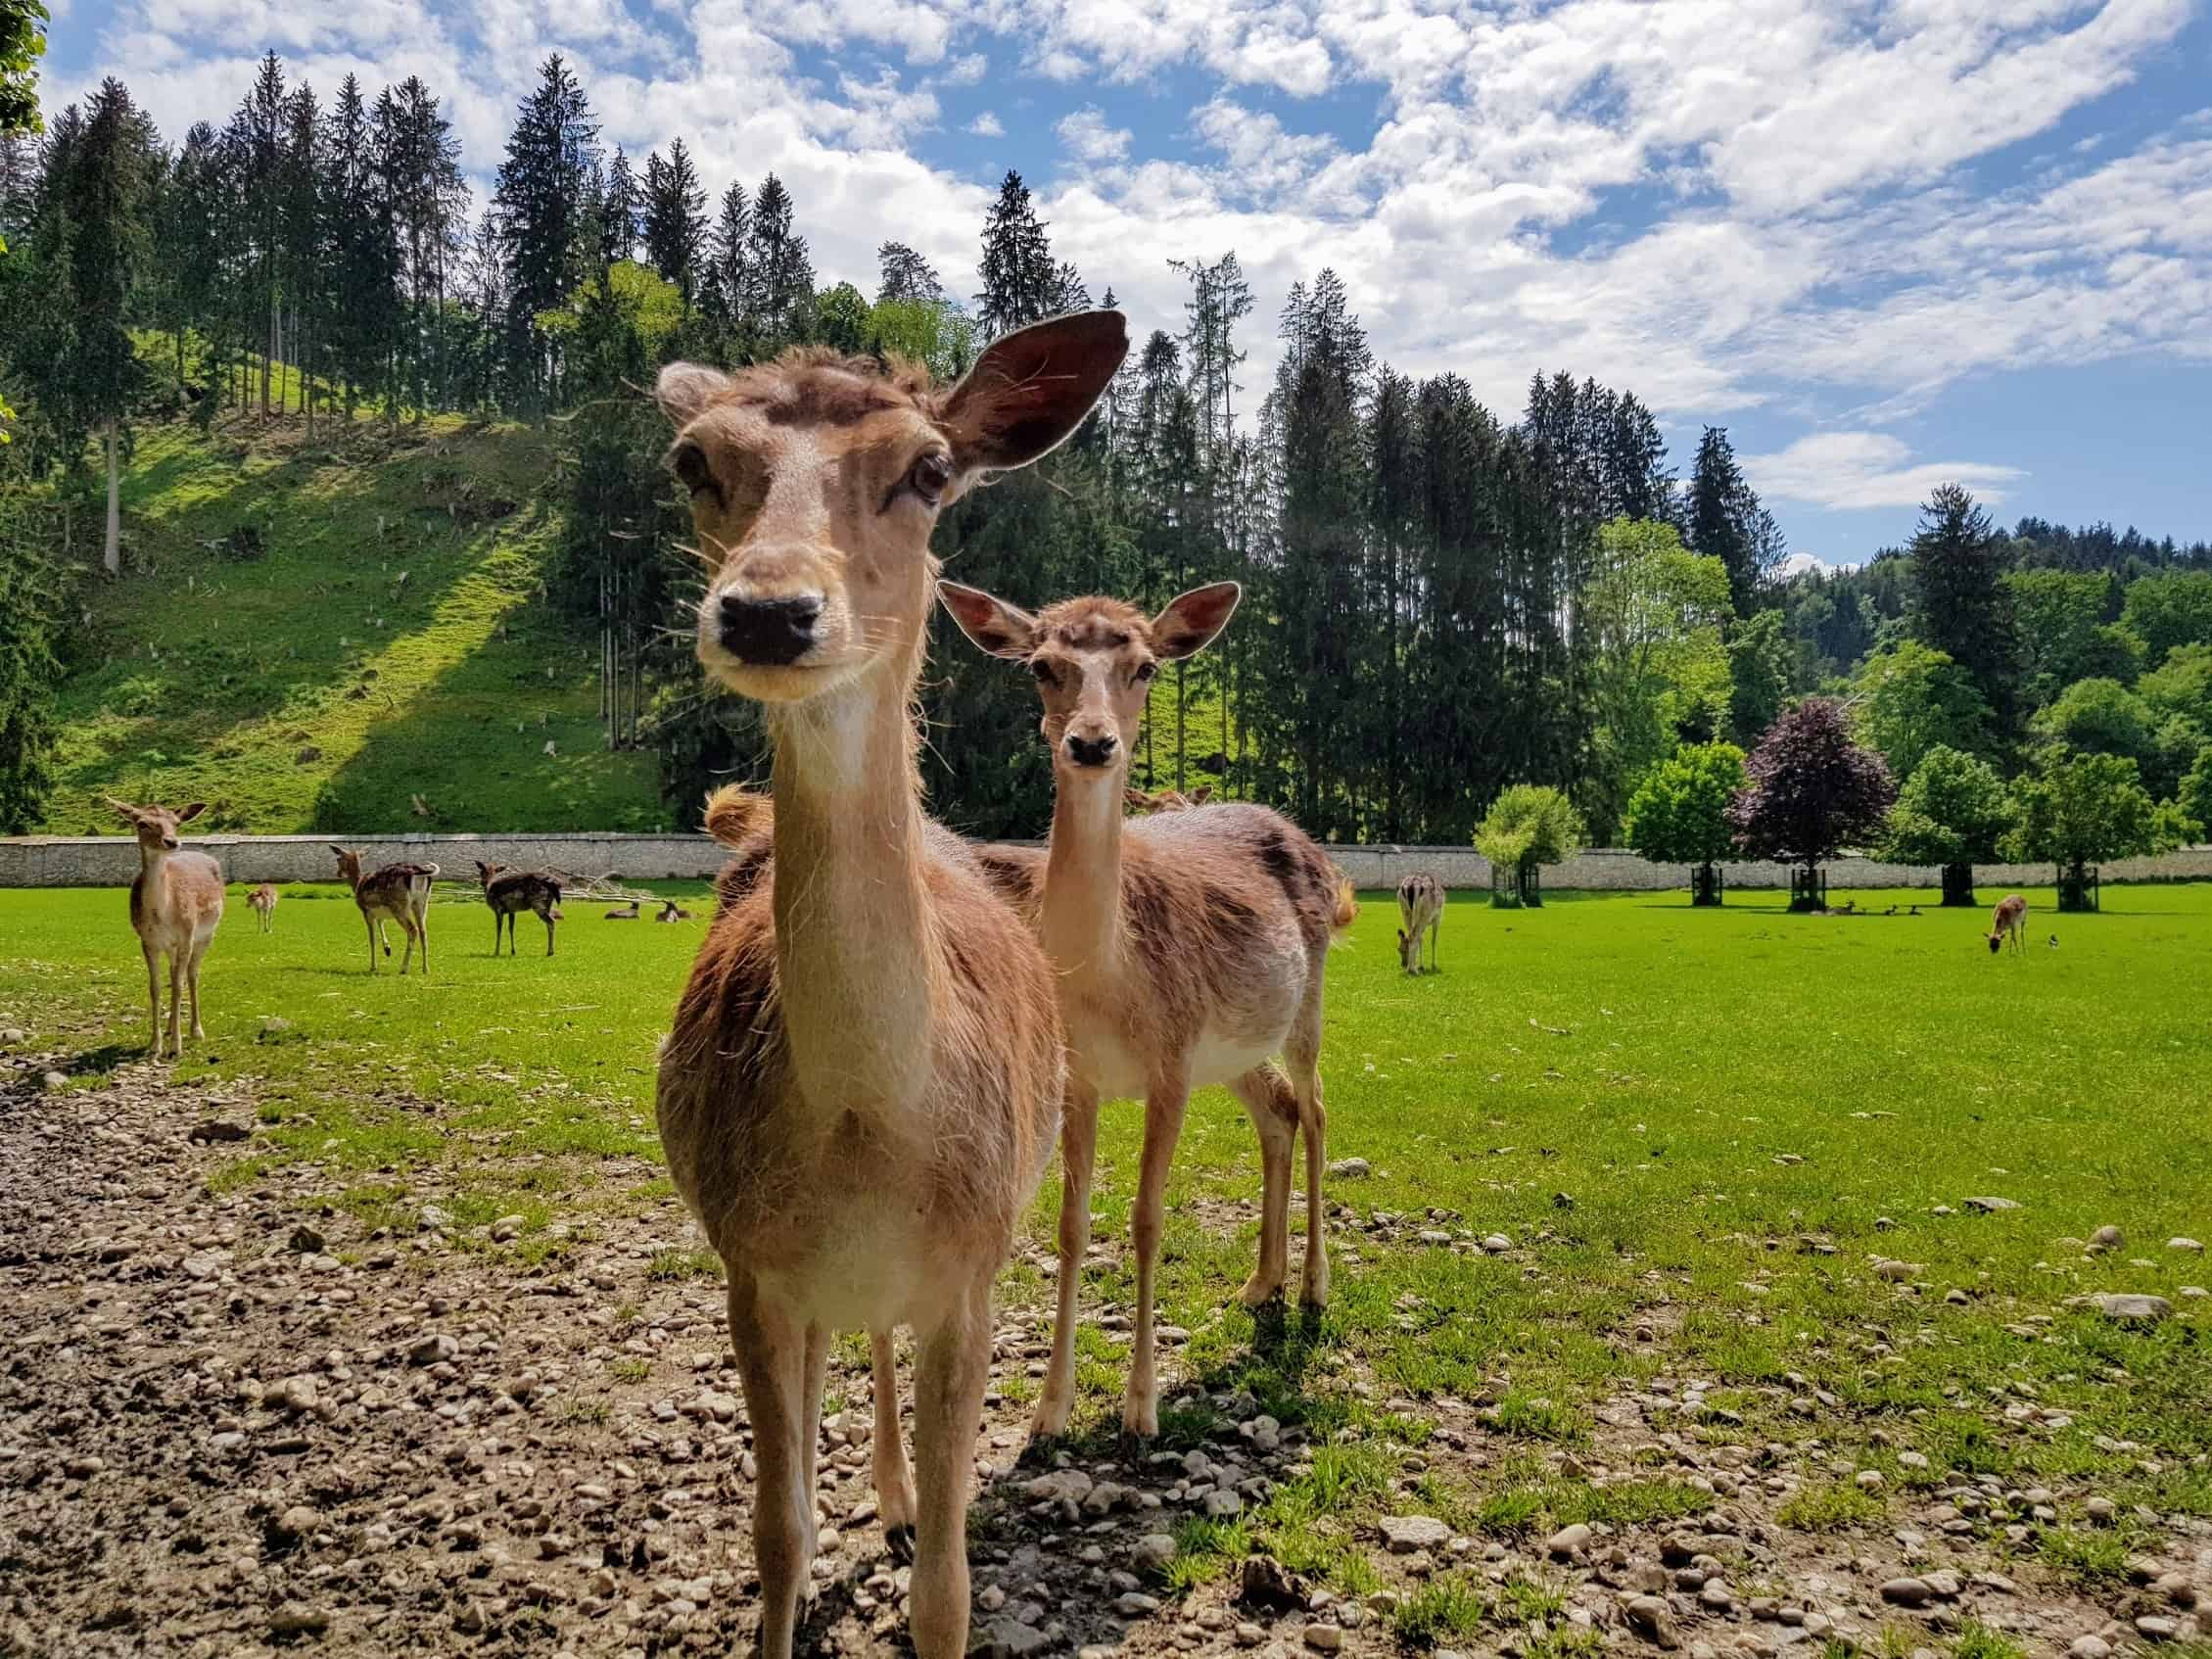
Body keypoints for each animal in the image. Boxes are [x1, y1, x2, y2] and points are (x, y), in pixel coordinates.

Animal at [105, 805, 224, 1066]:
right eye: (142, 823)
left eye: (176, 822)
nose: (171, 841)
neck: (162, 914)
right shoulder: (147, 941)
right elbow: (156, 987)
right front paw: (154, 1046)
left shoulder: (186, 936)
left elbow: (179, 986)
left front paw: (175, 1048)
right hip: (171, 947)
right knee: (174, 973)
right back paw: (170, 1028)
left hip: (206, 935)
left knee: (192, 975)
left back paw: (196, 1031)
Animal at [331, 849, 440, 981]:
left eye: (339, 859)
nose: (338, 873)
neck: (357, 883)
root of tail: (417, 871)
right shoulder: (380, 914)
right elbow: (381, 924)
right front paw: (387, 949)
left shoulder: (366, 911)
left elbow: (372, 939)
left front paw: (373, 966)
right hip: (422, 902)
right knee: (423, 931)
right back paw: (425, 969)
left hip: (398, 905)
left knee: (413, 930)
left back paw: (403, 969)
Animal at [645, 313, 1123, 1659]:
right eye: (696, 460)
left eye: (927, 467)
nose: (767, 609)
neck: (866, 1127)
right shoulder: (753, 1266)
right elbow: (778, 1531)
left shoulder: (972, 1267)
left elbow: (952, 1589)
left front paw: (927, 1539)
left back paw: (904, 1499)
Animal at [933, 579, 1344, 1450]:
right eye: (1042, 666)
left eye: (1146, 666)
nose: (1091, 743)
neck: (1106, 982)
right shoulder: (1078, 1079)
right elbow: (1070, 1225)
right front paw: (1047, 1411)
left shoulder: (1169, 1064)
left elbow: (1148, 1220)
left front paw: (1141, 1407)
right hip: (1232, 1047)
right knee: (1278, 1112)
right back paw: (1259, 1283)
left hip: (1306, 1001)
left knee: (1318, 1106)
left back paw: (1314, 1285)